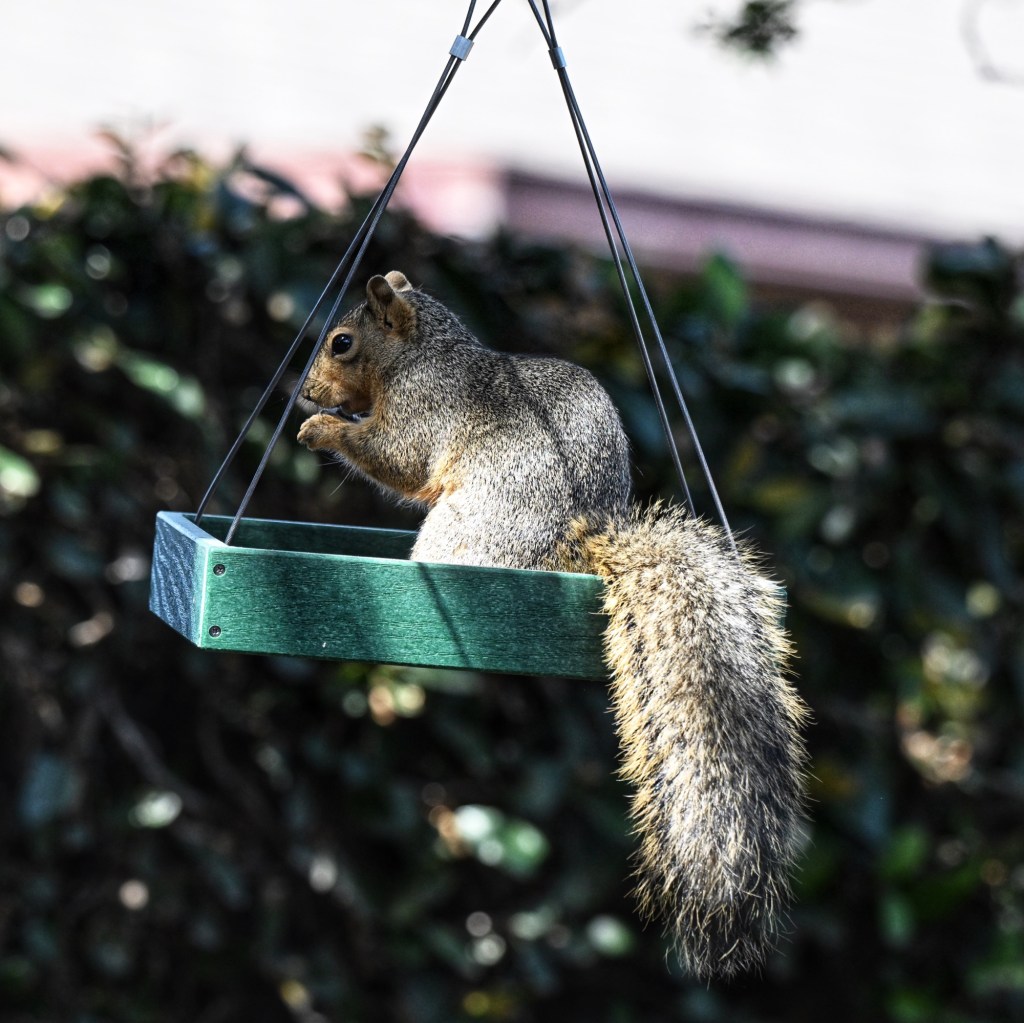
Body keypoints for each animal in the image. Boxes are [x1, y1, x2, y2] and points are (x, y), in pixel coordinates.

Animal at [297, 271, 809, 980]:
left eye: (342, 342)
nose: (304, 393)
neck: (421, 353)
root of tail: (578, 545)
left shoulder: (424, 410)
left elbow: (395, 457)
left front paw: (321, 429)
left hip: (470, 525)